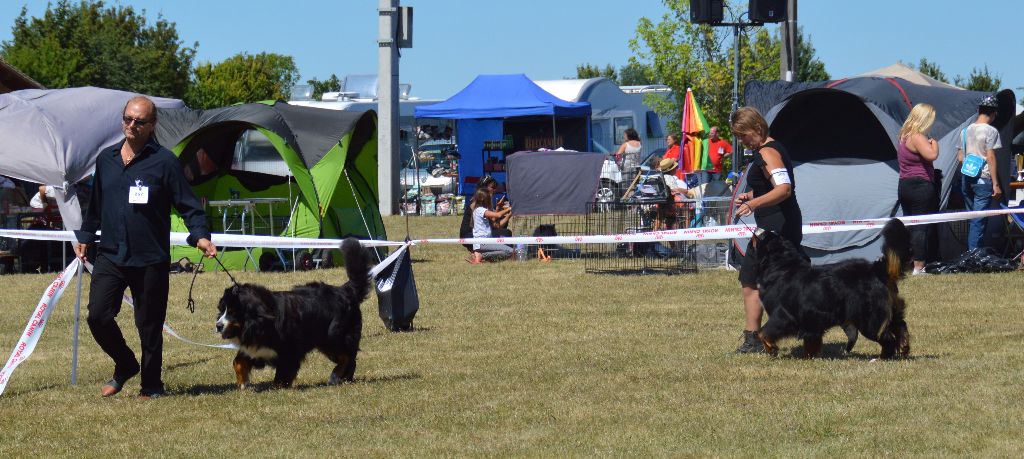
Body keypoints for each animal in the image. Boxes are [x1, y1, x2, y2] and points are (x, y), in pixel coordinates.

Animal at [215, 238, 372, 389]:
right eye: (222, 310)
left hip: (333, 336)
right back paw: (344, 379)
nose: (218, 325)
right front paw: (242, 383)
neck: (261, 321)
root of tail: (345, 290)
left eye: (233, 312)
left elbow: (281, 376)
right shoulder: (255, 347)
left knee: (347, 356)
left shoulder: (289, 351)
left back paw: (335, 376)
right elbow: (237, 361)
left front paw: (278, 388)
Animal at [753, 219, 913, 358]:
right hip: (891, 310)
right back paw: (904, 347)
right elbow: (811, 342)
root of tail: (876, 270)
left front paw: (771, 348)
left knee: (887, 338)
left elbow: (763, 332)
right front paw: (810, 357)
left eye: (763, 236)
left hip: (869, 319)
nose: (757, 227)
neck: (781, 267)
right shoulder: (811, 321)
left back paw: (883, 358)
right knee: (901, 325)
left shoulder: (783, 314)